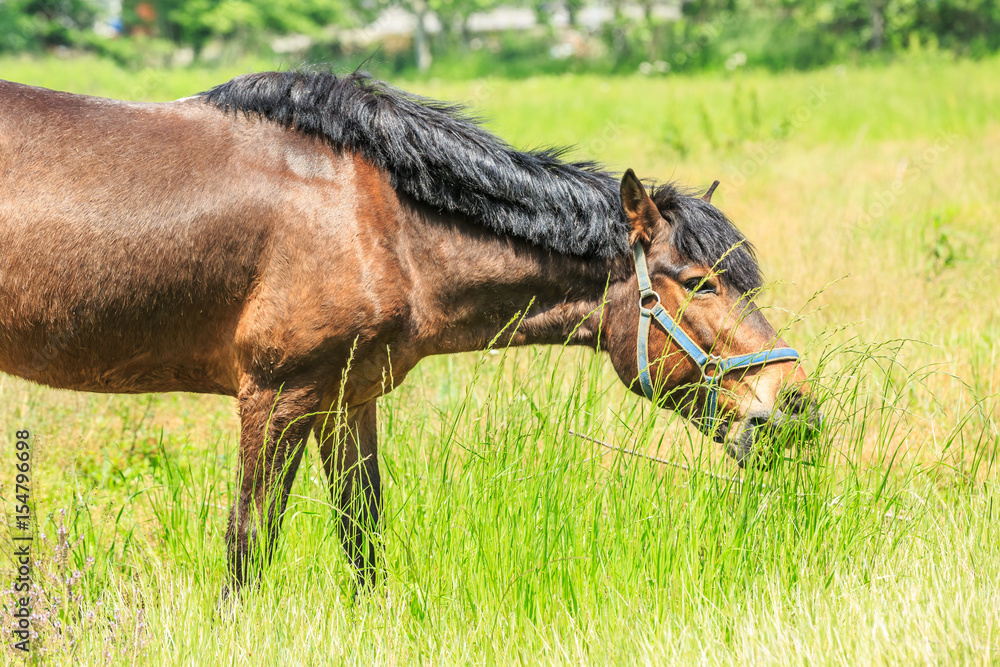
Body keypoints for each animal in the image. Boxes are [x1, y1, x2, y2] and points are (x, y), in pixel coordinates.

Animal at [0, 72, 812, 596]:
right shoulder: (275, 397)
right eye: (700, 281)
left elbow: (362, 537)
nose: (796, 403)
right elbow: (249, 545)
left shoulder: (345, 400)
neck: (379, 223)